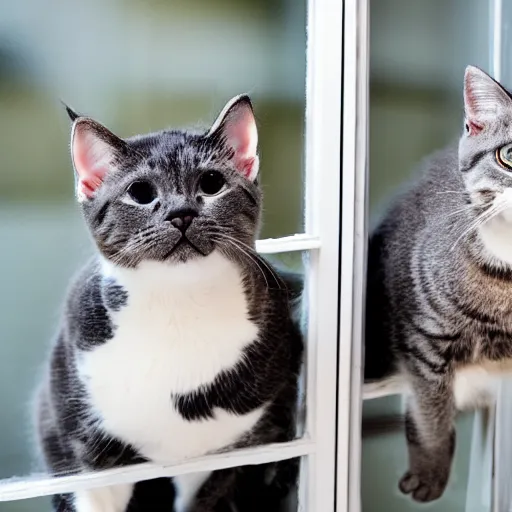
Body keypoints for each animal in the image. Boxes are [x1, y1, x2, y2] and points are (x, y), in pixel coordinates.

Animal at [35, 96, 304, 512]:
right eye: (140, 193)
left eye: (212, 184)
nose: (181, 212)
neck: (179, 307)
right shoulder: (84, 452)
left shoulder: (242, 450)